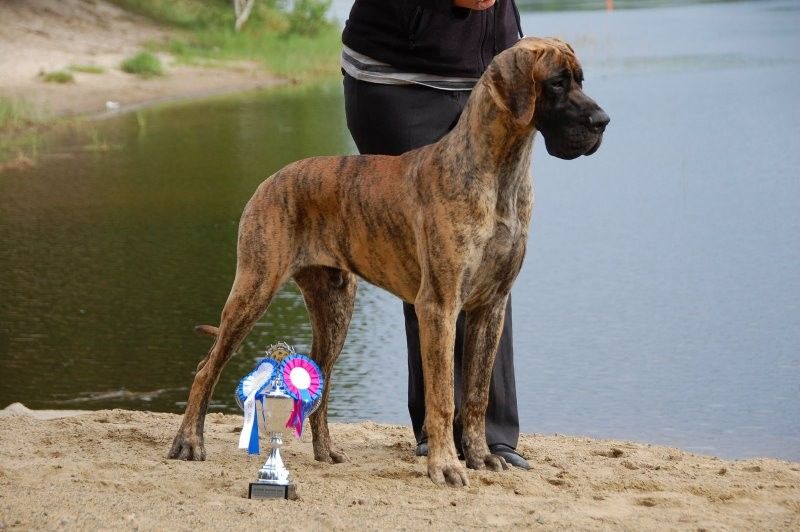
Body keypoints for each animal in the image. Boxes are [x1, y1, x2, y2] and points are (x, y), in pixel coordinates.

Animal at [168, 37, 609, 487]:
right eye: (557, 83)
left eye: (580, 79)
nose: (603, 121)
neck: (499, 172)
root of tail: (270, 180)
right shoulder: (439, 307)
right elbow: (443, 397)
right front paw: (446, 465)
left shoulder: (491, 307)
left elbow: (477, 393)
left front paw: (481, 456)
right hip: (254, 289)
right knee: (206, 368)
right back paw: (189, 443)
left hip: (335, 308)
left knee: (321, 382)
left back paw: (326, 451)